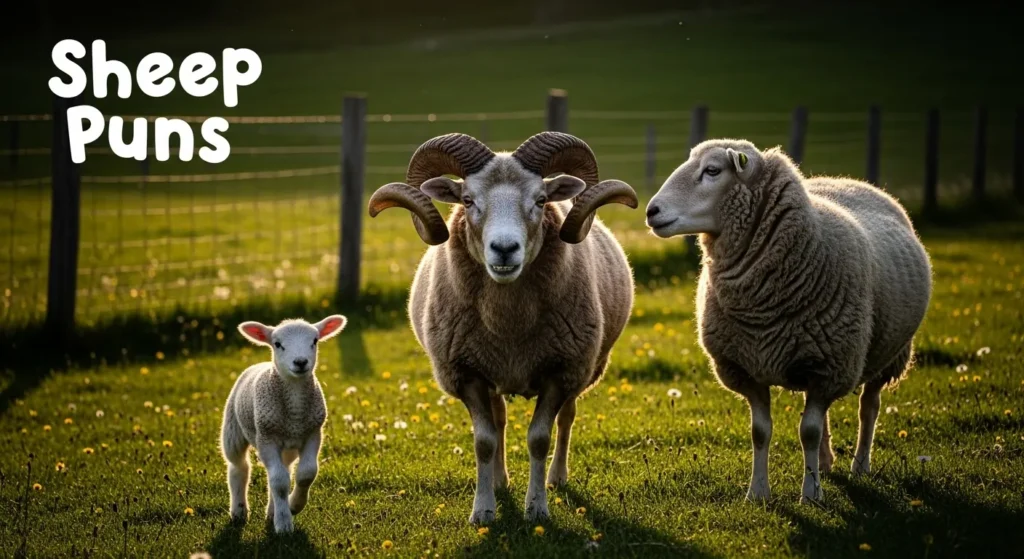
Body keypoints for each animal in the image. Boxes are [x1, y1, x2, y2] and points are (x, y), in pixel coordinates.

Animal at [222, 314, 347, 533]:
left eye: (315, 341)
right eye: (277, 344)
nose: (300, 362)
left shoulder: (313, 434)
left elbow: (305, 474)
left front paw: (293, 506)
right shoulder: (266, 437)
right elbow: (279, 482)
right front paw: (284, 524)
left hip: (288, 448)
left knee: (284, 469)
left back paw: (272, 511)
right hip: (233, 429)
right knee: (239, 467)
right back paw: (239, 511)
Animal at [367, 132, 638, 524]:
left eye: (540, 200)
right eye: (467, 200)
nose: (505, 249)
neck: (510, 328)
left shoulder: (561, 373)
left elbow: (539, 438)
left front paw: (537, 508)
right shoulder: (467, 375)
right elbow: (485, 441)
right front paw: (483, 511)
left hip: (585, 368)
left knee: (567, 418)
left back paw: (557, 477)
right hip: (492, 371)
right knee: (500, 421)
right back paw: (498, 481)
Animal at [645, 139, 932, 504]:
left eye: (712, 170)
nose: (651, 211)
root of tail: (848, 180)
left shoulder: (831, 366)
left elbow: (807, 431)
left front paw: (810, 495)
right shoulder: (748, 368)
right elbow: (761, 432)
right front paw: (758, 492)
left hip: (887, 355)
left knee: (868, 406)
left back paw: (859, 465)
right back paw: (825, 463)